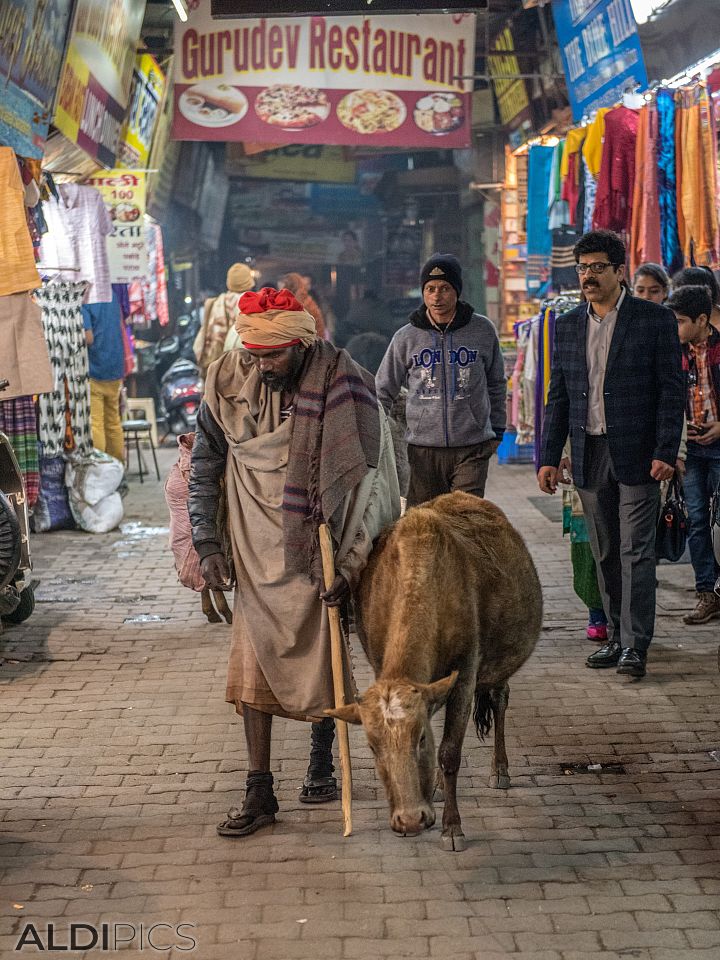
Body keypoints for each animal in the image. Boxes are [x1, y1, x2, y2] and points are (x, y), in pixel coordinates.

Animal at [326, 492, 540, 852]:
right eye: (372, 747)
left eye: (420, 738)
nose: (410, 819)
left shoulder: (466, 672)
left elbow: (450, 751)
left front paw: (452, 827)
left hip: (499, 666)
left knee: (500, 698)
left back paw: (500, 769)